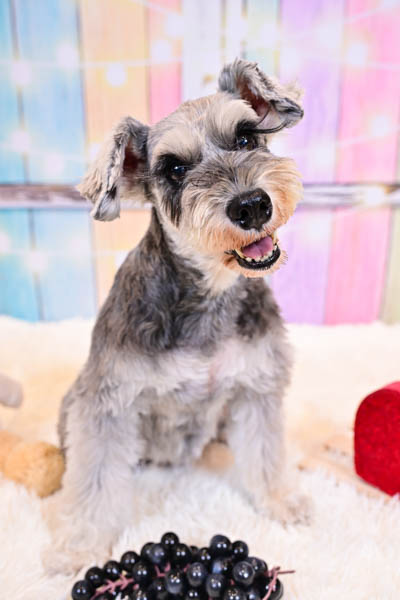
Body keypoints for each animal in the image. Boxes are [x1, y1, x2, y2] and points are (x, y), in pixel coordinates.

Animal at [44, 59, 309, 574]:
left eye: (246, 136)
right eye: (174, 169)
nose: (251, 205)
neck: (207, 292)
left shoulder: (257, 387)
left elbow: (266, 452)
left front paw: (282, 501)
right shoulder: (108, 402)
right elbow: (95, 478)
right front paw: (79, 545)